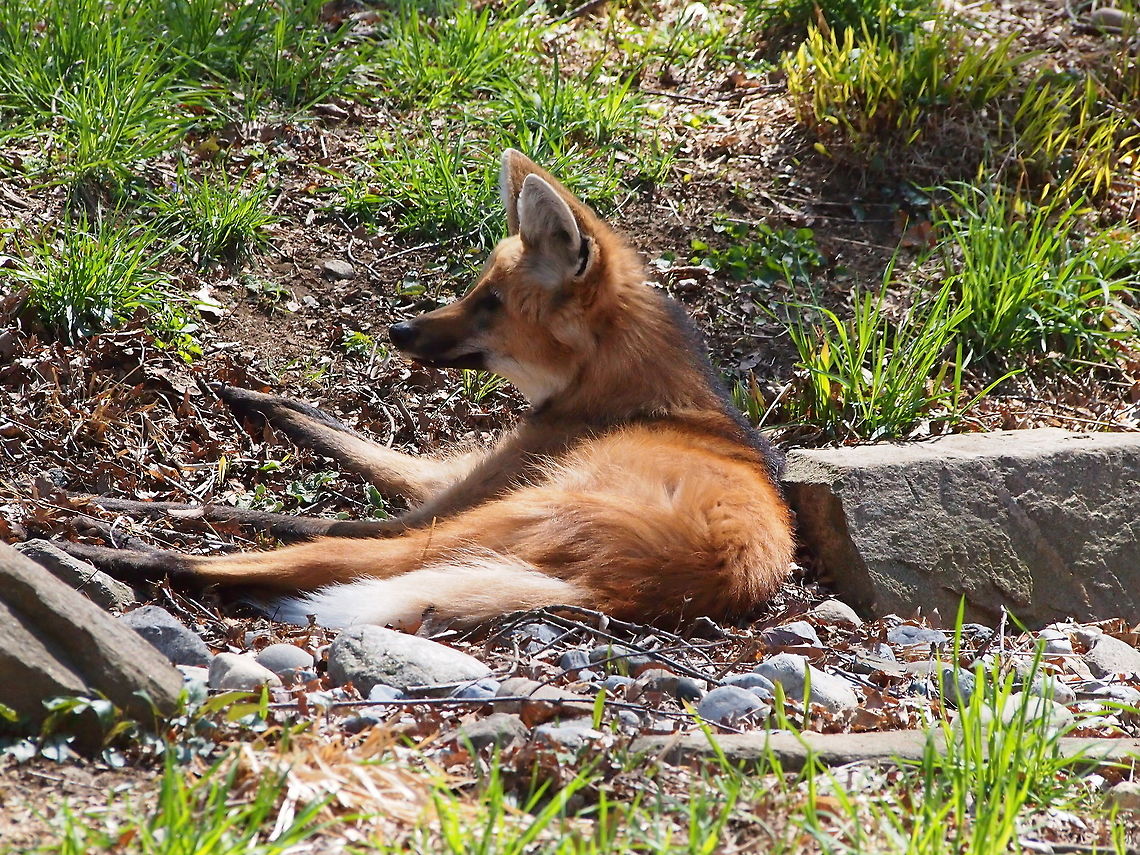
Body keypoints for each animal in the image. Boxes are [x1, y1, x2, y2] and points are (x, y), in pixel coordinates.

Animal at [64, 150, 794, 629]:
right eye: (476, 289)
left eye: (490, 303)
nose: (398, 329)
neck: (628, 392)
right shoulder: (457, 475)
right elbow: (352, 438)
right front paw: (260, 400)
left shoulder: (448, 502)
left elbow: (272, 514)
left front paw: (106, 502)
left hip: (496, 522)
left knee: (324, 555)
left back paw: (104, 550)